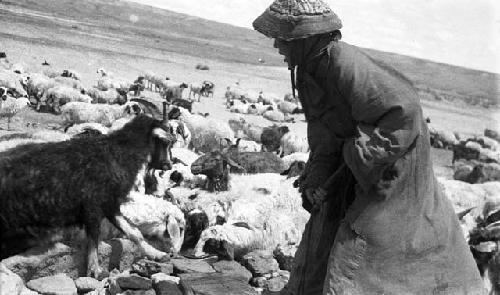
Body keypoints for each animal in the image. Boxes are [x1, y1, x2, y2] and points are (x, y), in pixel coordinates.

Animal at [0, 115, 177, 278]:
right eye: (165, 142)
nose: (169, 166)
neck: (119, 154)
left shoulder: (109, 204)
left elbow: (134, 232)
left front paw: (157, 254)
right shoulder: (92, 206)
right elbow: (93, 240)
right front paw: (95, 271)